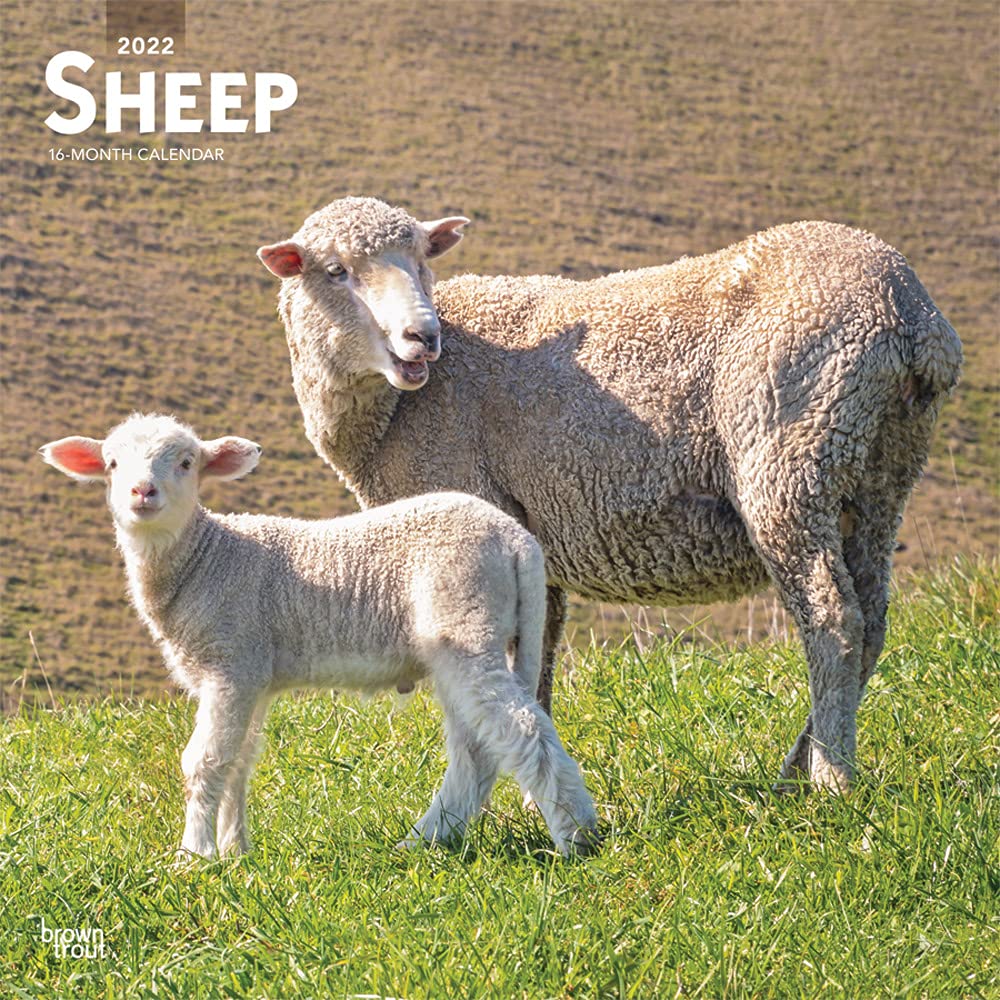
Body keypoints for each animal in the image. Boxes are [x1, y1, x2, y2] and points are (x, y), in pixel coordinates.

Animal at [39, 413, 599, 859]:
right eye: (112, 463)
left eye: (185, 462)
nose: (142, 493)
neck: (206, 558)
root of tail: (519, 541)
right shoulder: (253, 676)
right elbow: (240, 760)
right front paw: (235, 852)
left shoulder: (231, 661)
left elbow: (205, 762)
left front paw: (193, 857)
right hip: (468, 637)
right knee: (476, 751)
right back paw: (425, 841)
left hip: (465, 618)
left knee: (520, 731)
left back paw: (576, 838)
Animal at [257, 197, 963, 795]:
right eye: (335, 271)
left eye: (423, 260)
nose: (422, 339)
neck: (391, 414)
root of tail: (910, 316)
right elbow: (535, 661)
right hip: (876, 476)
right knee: (871, 621)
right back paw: (799, 764)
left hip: (791, 454)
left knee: (833, 621)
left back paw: (831, 779)